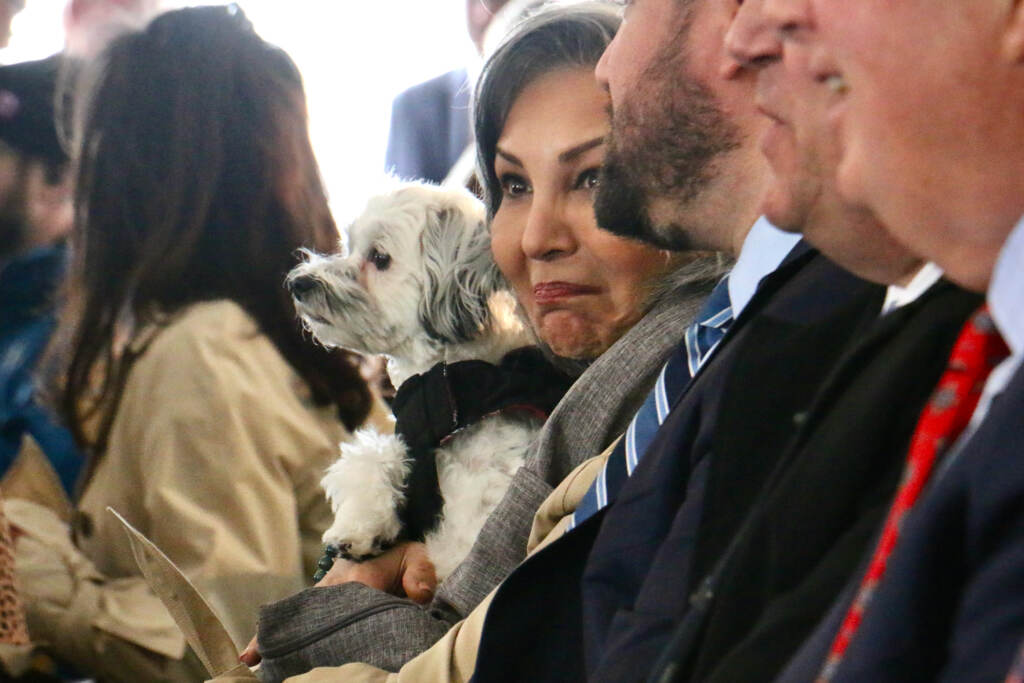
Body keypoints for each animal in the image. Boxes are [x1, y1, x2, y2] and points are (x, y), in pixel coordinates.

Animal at [286, 180, 561, 577]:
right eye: (348, 246)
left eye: (379, 257)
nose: (299, 282)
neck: (444, 382)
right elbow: (370, 455)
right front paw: (360, 526)